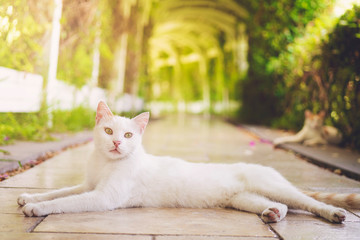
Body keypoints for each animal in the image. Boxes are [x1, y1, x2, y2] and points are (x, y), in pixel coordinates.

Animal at [17, 101, 358, 223]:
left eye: (128, 134)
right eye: (109, 131)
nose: (116, 143)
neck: (105, 163)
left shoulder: (103, 197)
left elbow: (66, 201)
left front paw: (37, 208)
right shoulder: (88, 184)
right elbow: (61, 191)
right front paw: (29, 197)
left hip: (274, 186)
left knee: (308, 202)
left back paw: (334, 214)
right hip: (243, 199)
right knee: (282, 205)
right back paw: (272, 213)